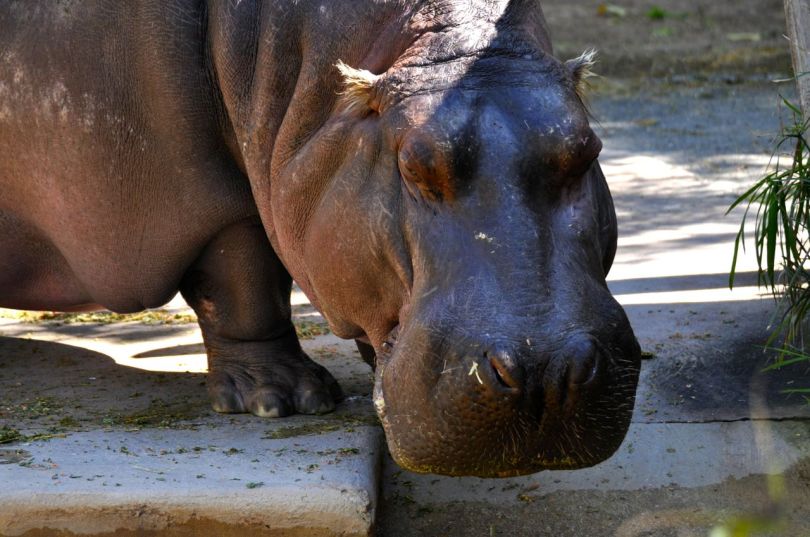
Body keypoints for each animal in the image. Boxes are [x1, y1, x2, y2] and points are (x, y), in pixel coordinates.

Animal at [0, 0, 640, 477]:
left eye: (587, 149)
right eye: (413, 165)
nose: (545, 373)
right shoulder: (206, 191)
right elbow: (242, 281)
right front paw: (283, 401)